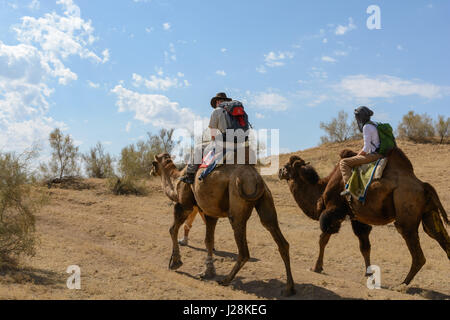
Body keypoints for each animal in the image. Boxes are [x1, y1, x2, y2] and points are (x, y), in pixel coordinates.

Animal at [151, 154, 298, 296]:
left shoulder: (184, 205)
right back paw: (289, 288)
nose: (151, 171)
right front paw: (207, 272)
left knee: (244, 251)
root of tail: (256, 178)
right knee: (278, 236)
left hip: (237, 199)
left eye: (153, 163)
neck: (176, 181)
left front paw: (175, 262)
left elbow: (172, 229)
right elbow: (208, 240)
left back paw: (226, 280)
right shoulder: (209, 213)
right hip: (265, 199)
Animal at [282, 149, 446, 288]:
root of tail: (423, 185)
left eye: (286, 166)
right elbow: (364, 246)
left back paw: (401, 285)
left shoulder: (334, 210)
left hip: (406, 212)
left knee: (416, 252)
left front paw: (316, 267)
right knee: (440, 237)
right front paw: (369, 274)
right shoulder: (356, 217)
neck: (323, 188)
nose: (279, 172)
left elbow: (323, 238)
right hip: (429, 212)